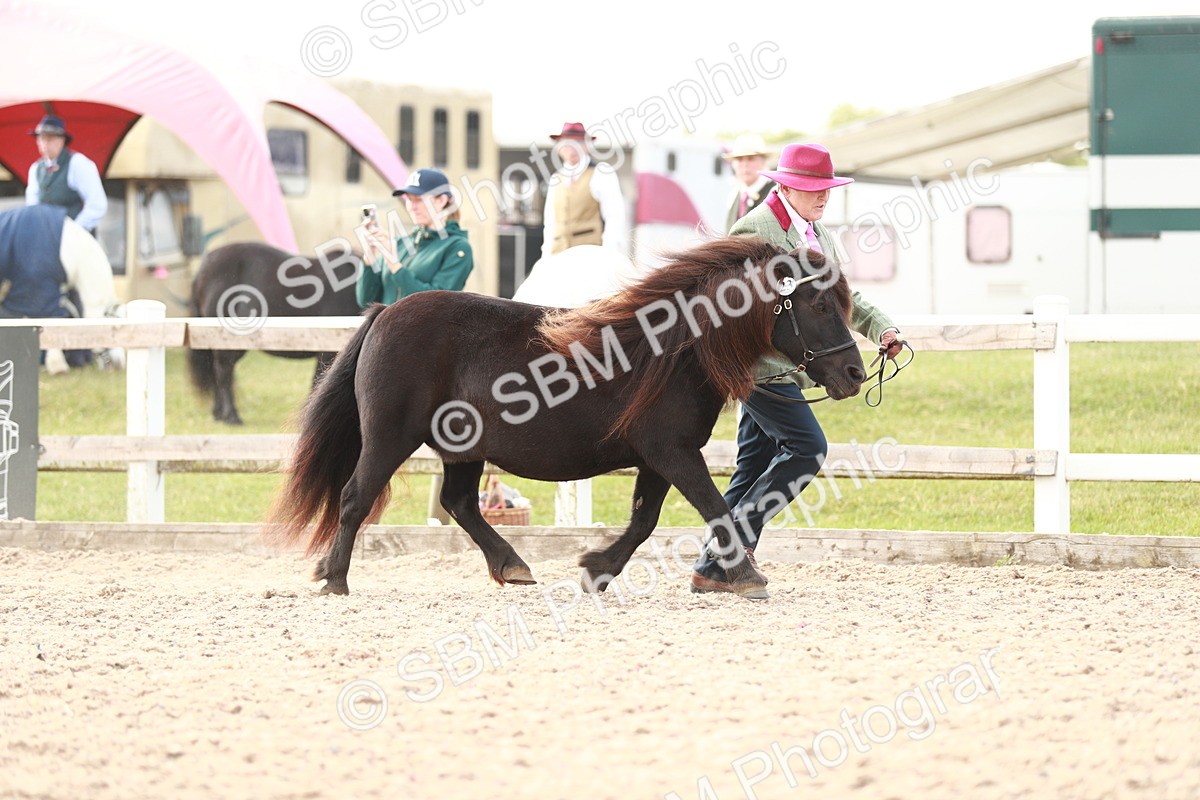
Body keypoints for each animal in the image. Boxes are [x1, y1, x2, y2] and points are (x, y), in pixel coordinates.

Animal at [267, 236, 867, 598]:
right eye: (817, 305)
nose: (855, 372)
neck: (675, 349)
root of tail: (385, 310)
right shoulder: (672, 452)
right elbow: (716, 509)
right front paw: (747, 575)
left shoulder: (658, 458)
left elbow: (645, 521)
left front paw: (597, 569)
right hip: (390, 438)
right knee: (355, 498)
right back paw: (335, 580)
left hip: (462, 448)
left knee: (460, 503)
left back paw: (512, 565)